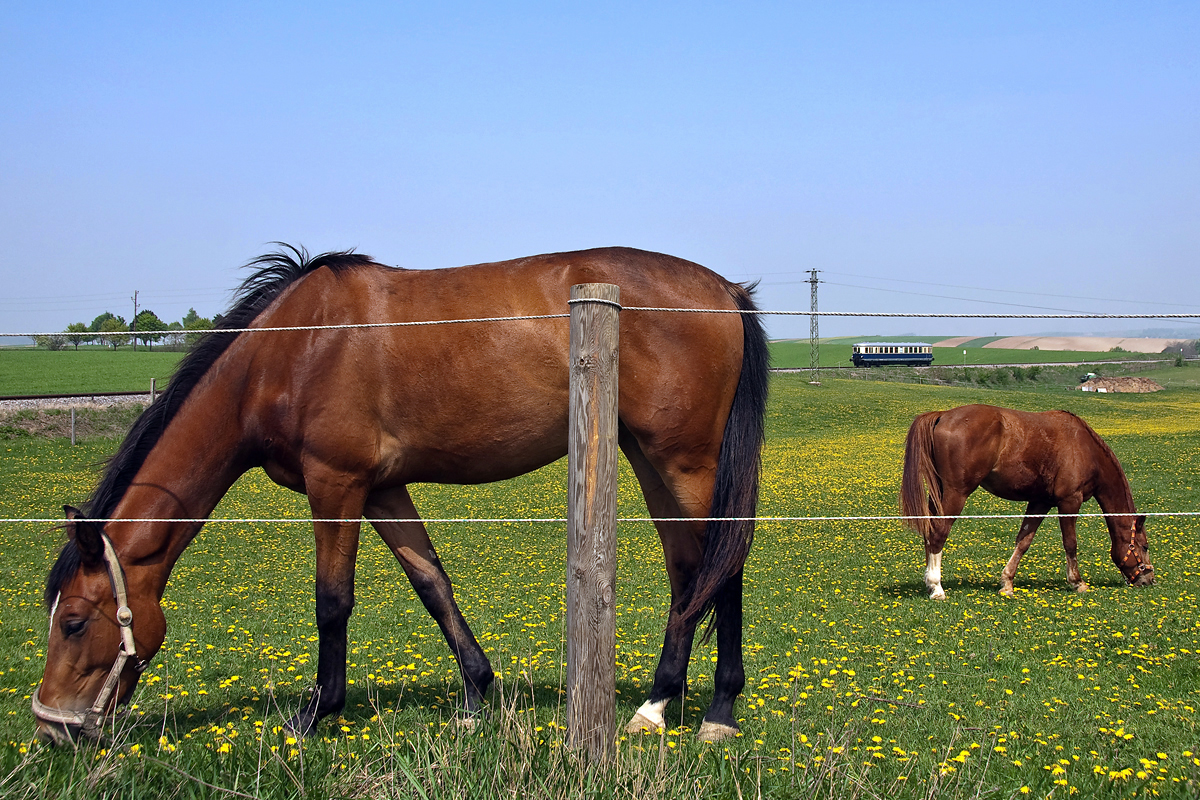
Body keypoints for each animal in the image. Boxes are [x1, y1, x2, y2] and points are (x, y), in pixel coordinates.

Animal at [37, 247, 772, 748]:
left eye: (73, 621)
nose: (52, 727)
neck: (294, 348)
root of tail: (726, 290)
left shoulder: (336, 483)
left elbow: (332, 601)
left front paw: (314, 713)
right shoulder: (383, 490)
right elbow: (432, 584)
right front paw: (476, 693)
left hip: (686, 463)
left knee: (724, 568)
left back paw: (717, 712)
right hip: (649, 460)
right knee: (689, 573)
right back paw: (657, 704)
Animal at [902, 407, 1152, 599]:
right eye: (1145, 546)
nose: (1149, 579)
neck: (1084, 447)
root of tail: (943, 415)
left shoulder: (1040, 502)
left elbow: (1023, 541)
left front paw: (1007, 583)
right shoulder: (1070, 501)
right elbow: (1070, 543)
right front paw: (1077, 582)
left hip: (939, 494)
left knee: (929, 533)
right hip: (956, 494)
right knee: (938, 534)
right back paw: (936, 587)